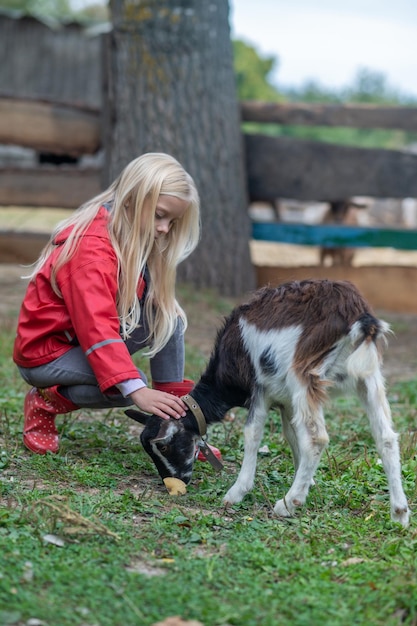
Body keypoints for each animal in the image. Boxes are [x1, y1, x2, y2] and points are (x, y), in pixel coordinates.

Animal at [127, 280, 410, 528]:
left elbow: (253, 434)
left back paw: (287, 504)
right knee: (385, 437)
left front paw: (236, 493)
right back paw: (400, 513)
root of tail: (357, 315)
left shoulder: (260, 388)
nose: (175, 481)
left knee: (316, 438)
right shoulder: (287, 403)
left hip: (303, 373)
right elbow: (292, 435)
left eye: (164, 446)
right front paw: (307, 482)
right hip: (367, 377)